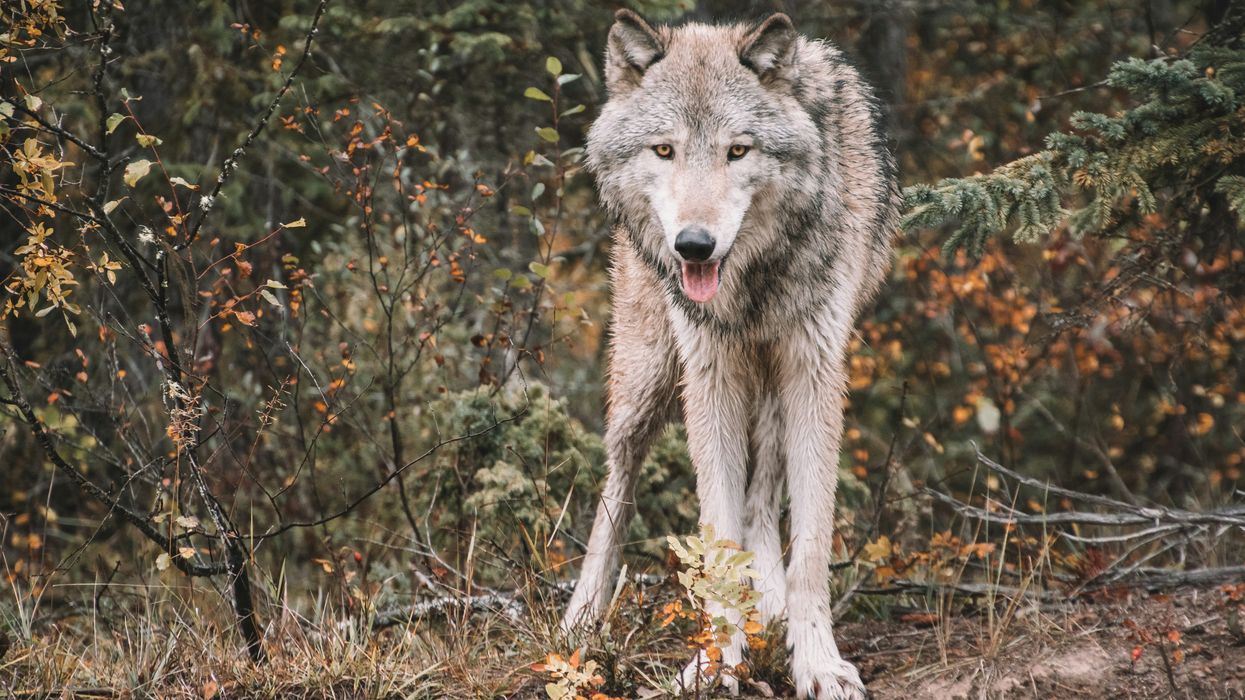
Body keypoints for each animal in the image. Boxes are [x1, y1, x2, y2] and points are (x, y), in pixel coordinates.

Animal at [561, 10, 899, 699]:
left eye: (737, 151)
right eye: (664, 150)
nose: (693, 245)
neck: (753, 282)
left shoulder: (814, 369)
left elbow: (809, 546)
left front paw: (817, 662)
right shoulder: (709, 374)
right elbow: (715, 535)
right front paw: (717, 664)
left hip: (767, 388)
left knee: (763, 495)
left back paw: (769, 607)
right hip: (648, 381)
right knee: (618, 482)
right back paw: (581, 620)